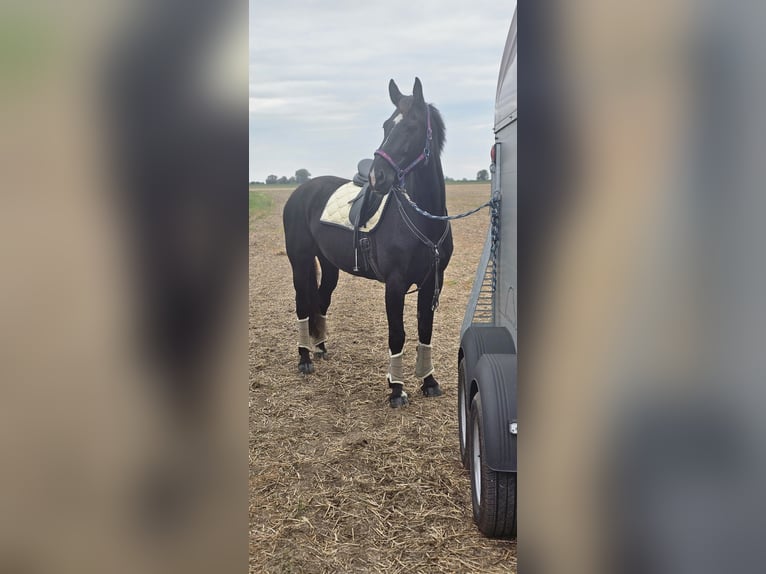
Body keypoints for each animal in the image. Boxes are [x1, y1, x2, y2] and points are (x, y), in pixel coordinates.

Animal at [282, 77, 452, 408]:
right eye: (386, 125)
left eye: (412, 126)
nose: (377, 177)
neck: (424, 219)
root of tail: (301, 191)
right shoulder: (395, 285)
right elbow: (398, 334)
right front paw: (397, 390)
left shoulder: (431, 282)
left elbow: (425, 331)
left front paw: (429, 382)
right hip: (299, 261)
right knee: (302, 304)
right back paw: (304, 359)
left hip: (329, 266)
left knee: (321, 298)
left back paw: (320, 347)